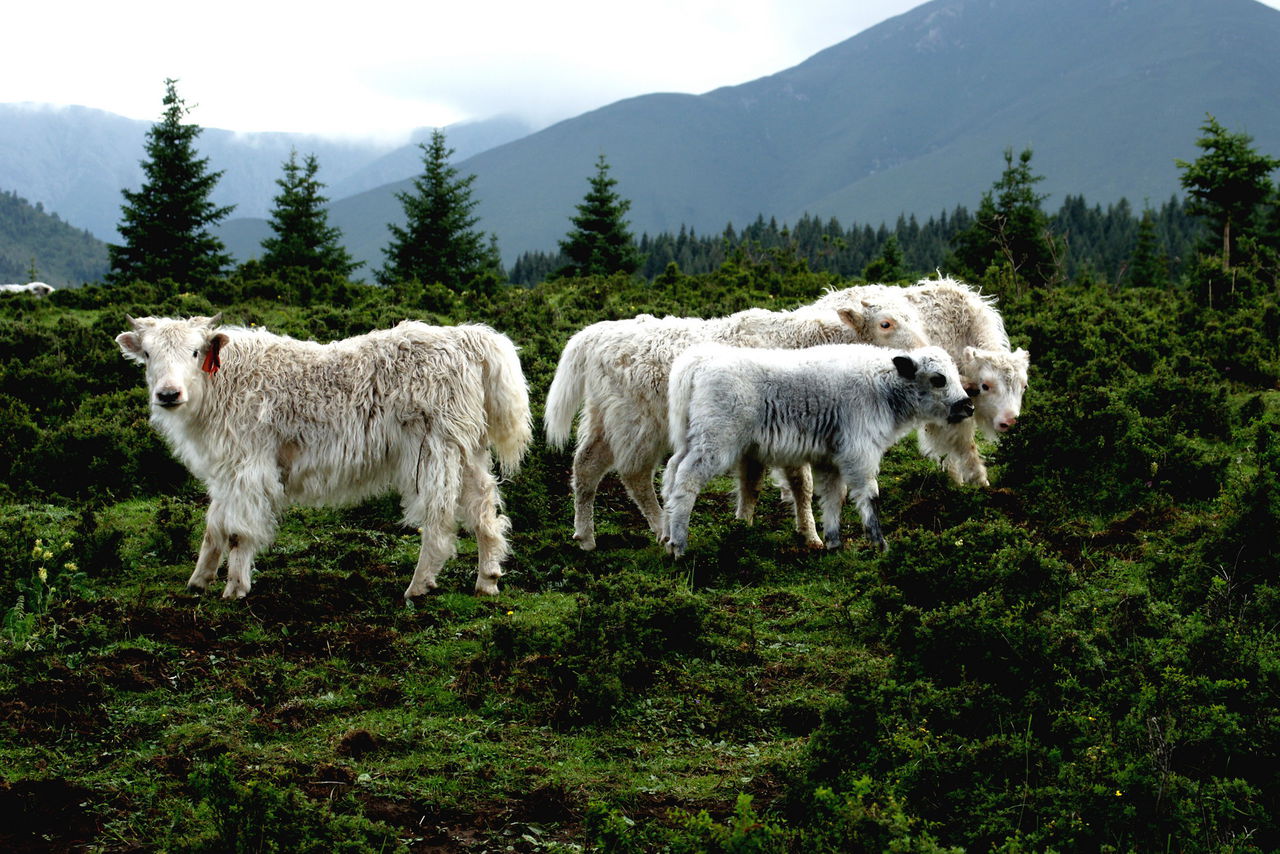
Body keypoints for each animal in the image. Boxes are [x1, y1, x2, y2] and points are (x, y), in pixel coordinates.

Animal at [112, 313, 527, 601]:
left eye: (195, 351)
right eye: (147, 353)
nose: (168, 394)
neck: (225, 381)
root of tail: (468, 338)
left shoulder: (248, 467)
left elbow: (237, 531)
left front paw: (235, 588)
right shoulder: (225, 472)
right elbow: (214, 524)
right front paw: (198, 580)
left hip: (433, 451)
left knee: (440, 517)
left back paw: (419, 585)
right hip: (467, 448)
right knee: (484, 506)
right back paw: (487, 579)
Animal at [660, 343, 967, 558]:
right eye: (938, 378)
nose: (967, 405)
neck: (881, 385)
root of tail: (700, 362)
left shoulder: (830, 459)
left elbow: (833, 497)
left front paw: (833, 542)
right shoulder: (859, 454)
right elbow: (869, 496)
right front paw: (880, 544)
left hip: (691, 440)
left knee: (671, 475)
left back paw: (665, 538)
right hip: (714, 442)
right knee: (686, 479)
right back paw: (679, 544)